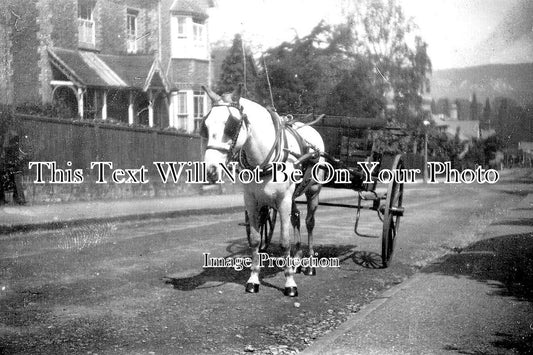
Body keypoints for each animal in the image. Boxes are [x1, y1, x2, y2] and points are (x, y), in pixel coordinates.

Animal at [202, 85, 322, 298]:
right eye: (205, 125)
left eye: (231, 126)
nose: (210, 170)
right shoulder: (251, 201)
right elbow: (256, 240)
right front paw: (253, 280)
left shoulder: (283, 201)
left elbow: (284, 242)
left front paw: (290, 283)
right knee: (297, 218)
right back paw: (297, 260)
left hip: (313, 191)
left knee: (309, 223)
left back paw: (309, 264)